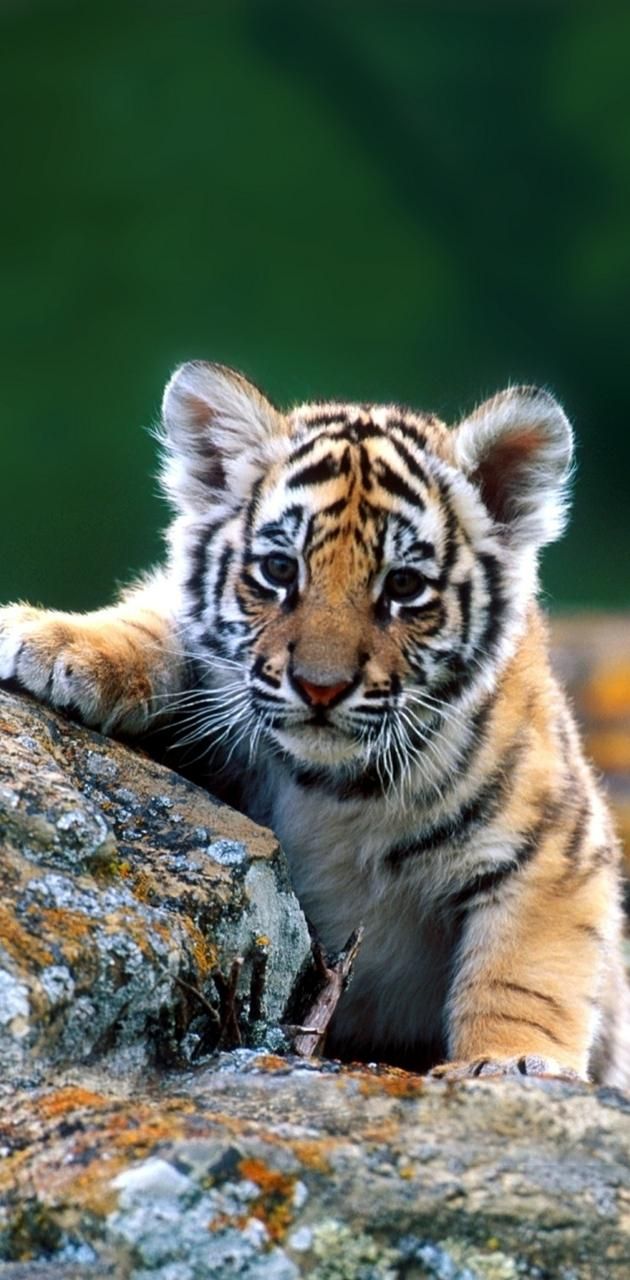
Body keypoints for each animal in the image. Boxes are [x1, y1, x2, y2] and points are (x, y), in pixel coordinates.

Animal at [1, 361, 629, 1086]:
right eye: (279, 570)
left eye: (404, 586)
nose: (320, 687)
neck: (336, 789)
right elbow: (163, 623)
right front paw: (54, 642)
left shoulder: (554, 850)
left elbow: (525, 976)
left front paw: (508, 1064)